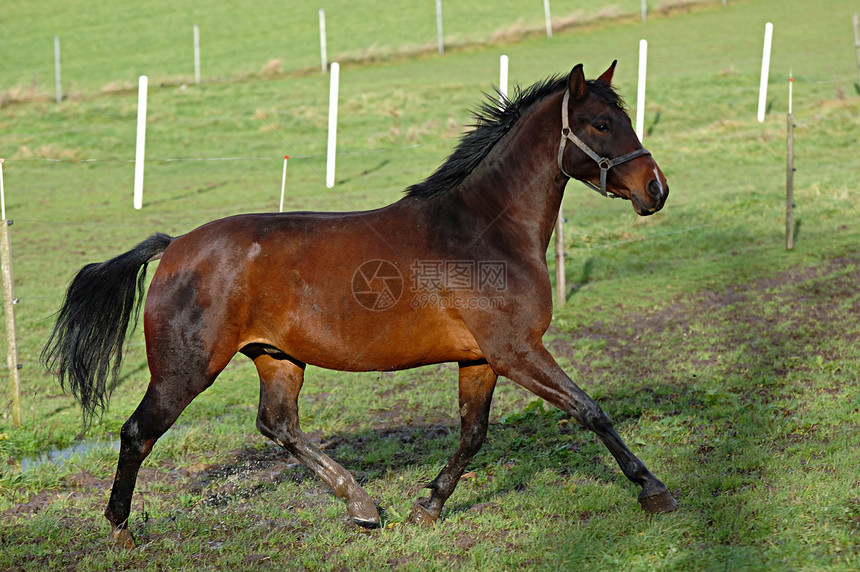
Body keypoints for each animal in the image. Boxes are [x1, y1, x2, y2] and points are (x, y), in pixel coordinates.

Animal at [43, 61, 680, 544]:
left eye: (625, 118)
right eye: (601, 123)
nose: (656, 189)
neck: (482, 231)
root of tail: (175, 247)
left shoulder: (481, 359)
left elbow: (473, 435)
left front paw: (428, 507)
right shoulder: (517, 350)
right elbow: (589, 410)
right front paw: (653, 490)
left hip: (277, 357)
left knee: (278, 425)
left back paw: (363, 506)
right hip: (185, 371)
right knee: (137, 433)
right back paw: (121, 530)